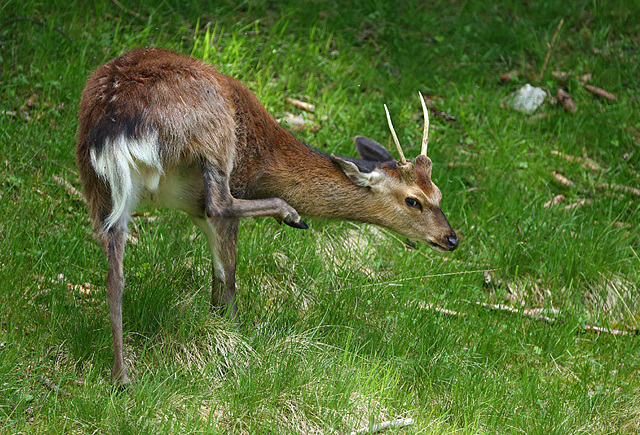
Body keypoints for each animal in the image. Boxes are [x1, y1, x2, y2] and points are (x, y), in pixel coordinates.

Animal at [77, 47, 458, 384]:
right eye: (414, 201)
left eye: (439, 194)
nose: (451, 238)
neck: (269, 163)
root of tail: (113, 119)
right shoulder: (223, 194)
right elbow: (227, 273)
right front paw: (236, 340)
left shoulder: (193, 208)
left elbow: (215, 274)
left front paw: (216, 328)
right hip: (213, 135)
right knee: (221, 202)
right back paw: (290, 214)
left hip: (98, 182)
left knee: (114, 274)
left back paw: (121, 377)